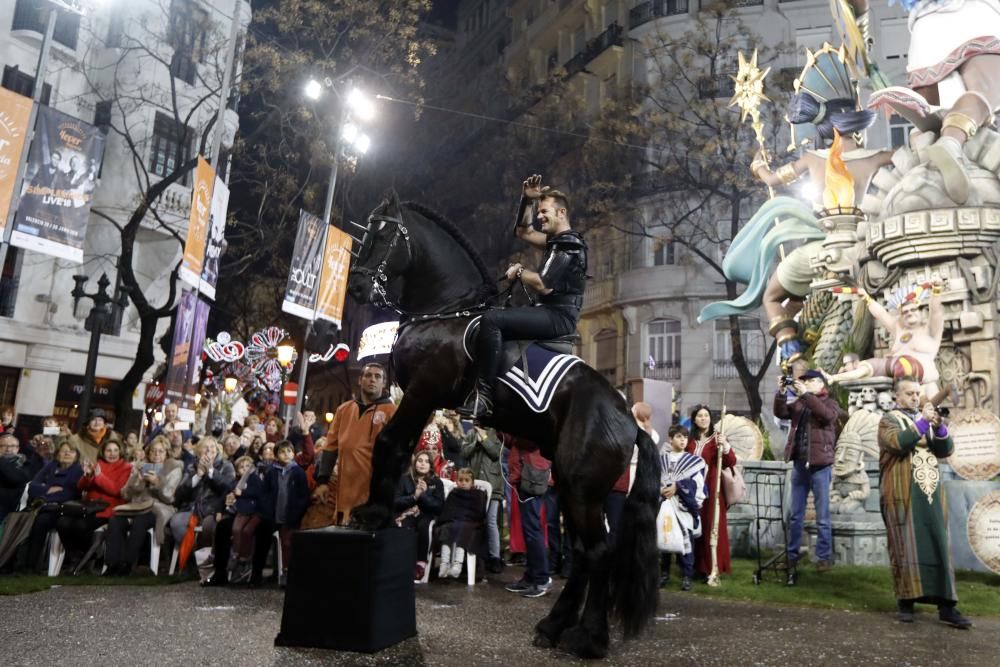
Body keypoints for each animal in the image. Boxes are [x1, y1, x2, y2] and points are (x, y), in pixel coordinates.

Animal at [348, 194, 660, 664]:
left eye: (383, 235)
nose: (356, 288)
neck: (447, 311)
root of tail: (626, 418)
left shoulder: (422, 393)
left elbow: (390, 442)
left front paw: (372, 513)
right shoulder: (419, 399)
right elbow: (399, 446)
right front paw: (379, 510)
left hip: (583, 489)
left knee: (598, 552)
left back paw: (588, 638)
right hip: (571, 486)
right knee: (584, 554)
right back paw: (552, 627)